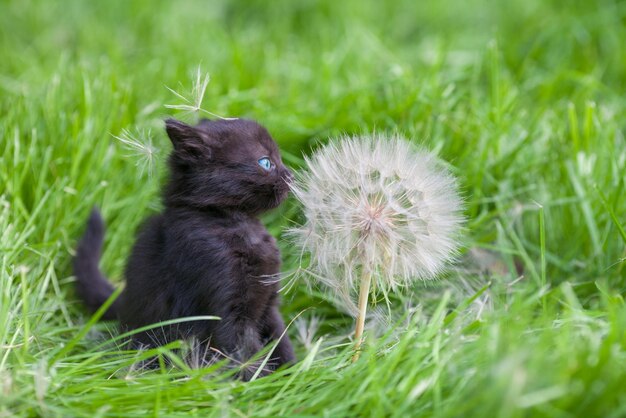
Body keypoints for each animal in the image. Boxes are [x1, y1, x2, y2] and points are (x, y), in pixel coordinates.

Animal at [72, 117, 296, 378]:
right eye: (266, 162)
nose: (291, 175)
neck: (241, 225)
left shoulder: (269, 303)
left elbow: (280, 339)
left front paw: (295, 373)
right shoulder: (228, 312)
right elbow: (246, 353)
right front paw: (261, 383)